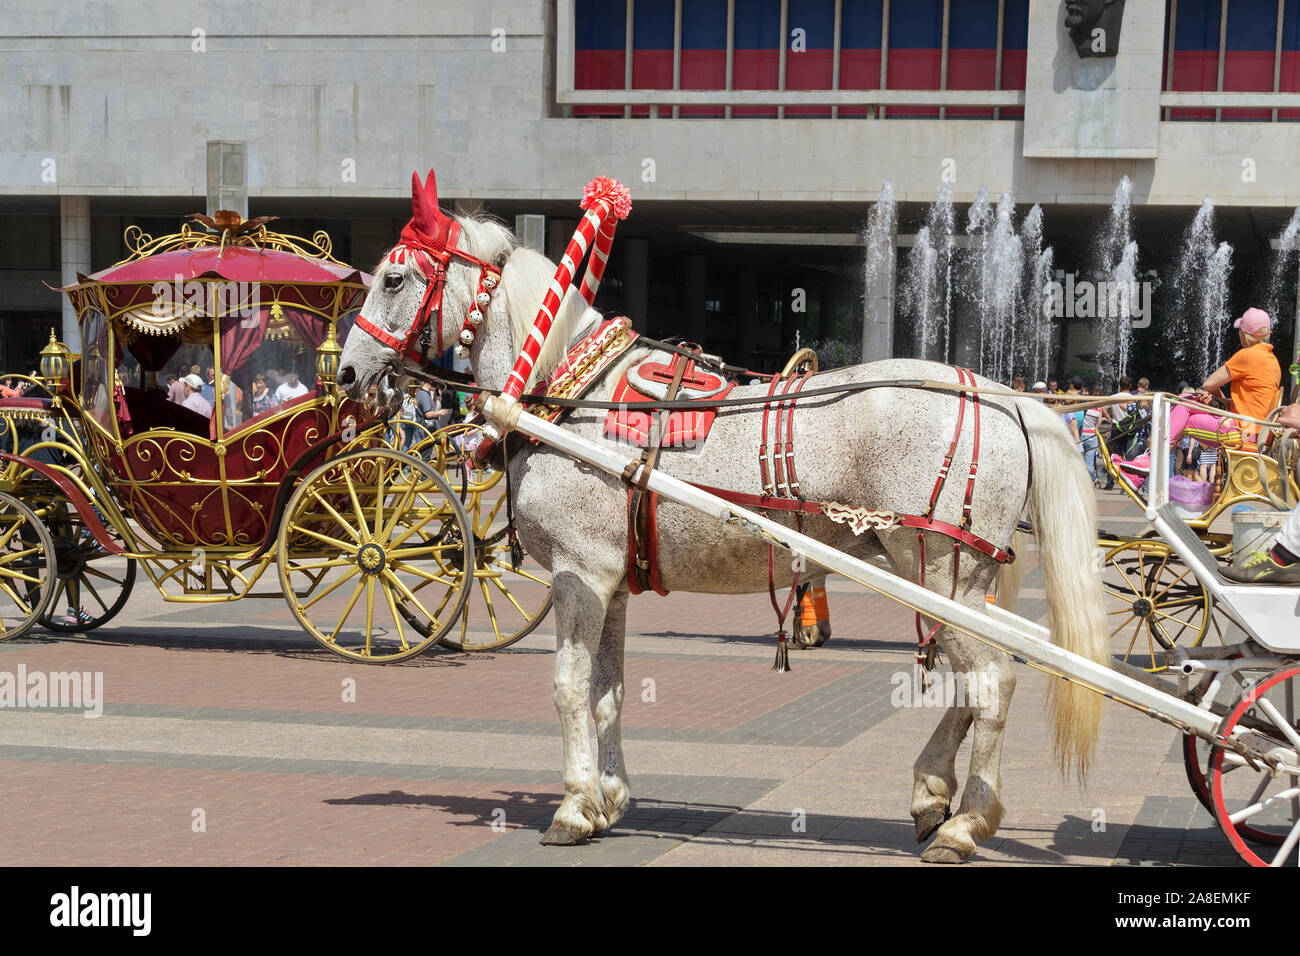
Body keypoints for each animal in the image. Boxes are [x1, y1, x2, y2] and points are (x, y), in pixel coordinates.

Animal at [335, 178, 1107, 858]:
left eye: (394, 279)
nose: (344, 372)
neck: (568, 393)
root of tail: (1006, 396)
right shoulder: (612, 582)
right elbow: (608, 693)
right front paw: (610, 797)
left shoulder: (578, 575)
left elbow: (568, 689)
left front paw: (575, 805)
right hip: (947, 582)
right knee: (973, 684)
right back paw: (931, 793)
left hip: (940, 573)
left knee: (992, 684)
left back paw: (964, 824)